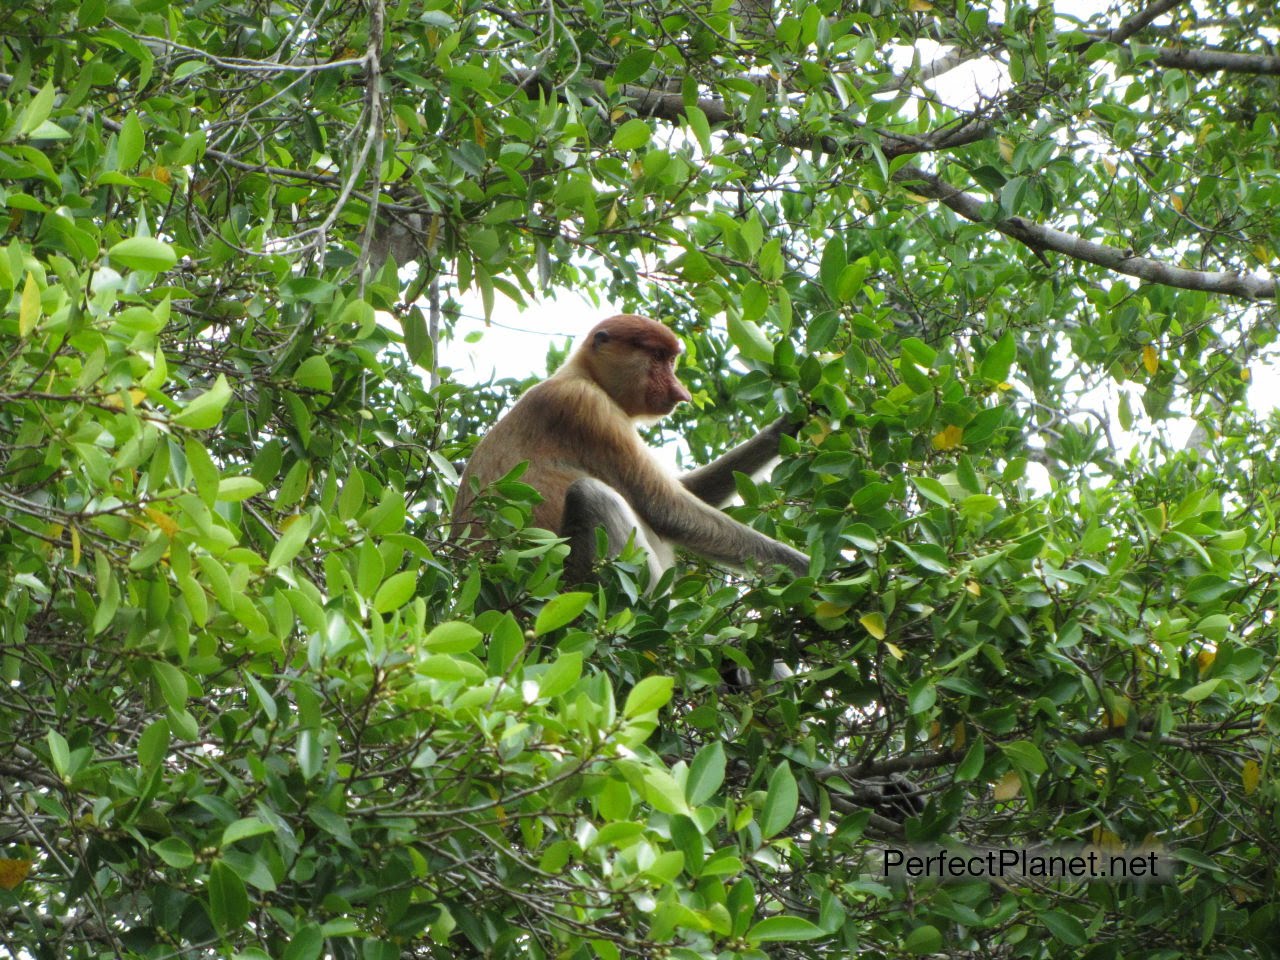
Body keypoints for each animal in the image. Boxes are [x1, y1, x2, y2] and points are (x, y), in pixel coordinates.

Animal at [453, 316, 808, 586]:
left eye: (671, 360)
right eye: (658, 357)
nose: (680, 392)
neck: (585, 375)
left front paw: (789, 424)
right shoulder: (586, 408)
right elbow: (666, 508)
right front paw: (814, 573)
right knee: (590, 494)